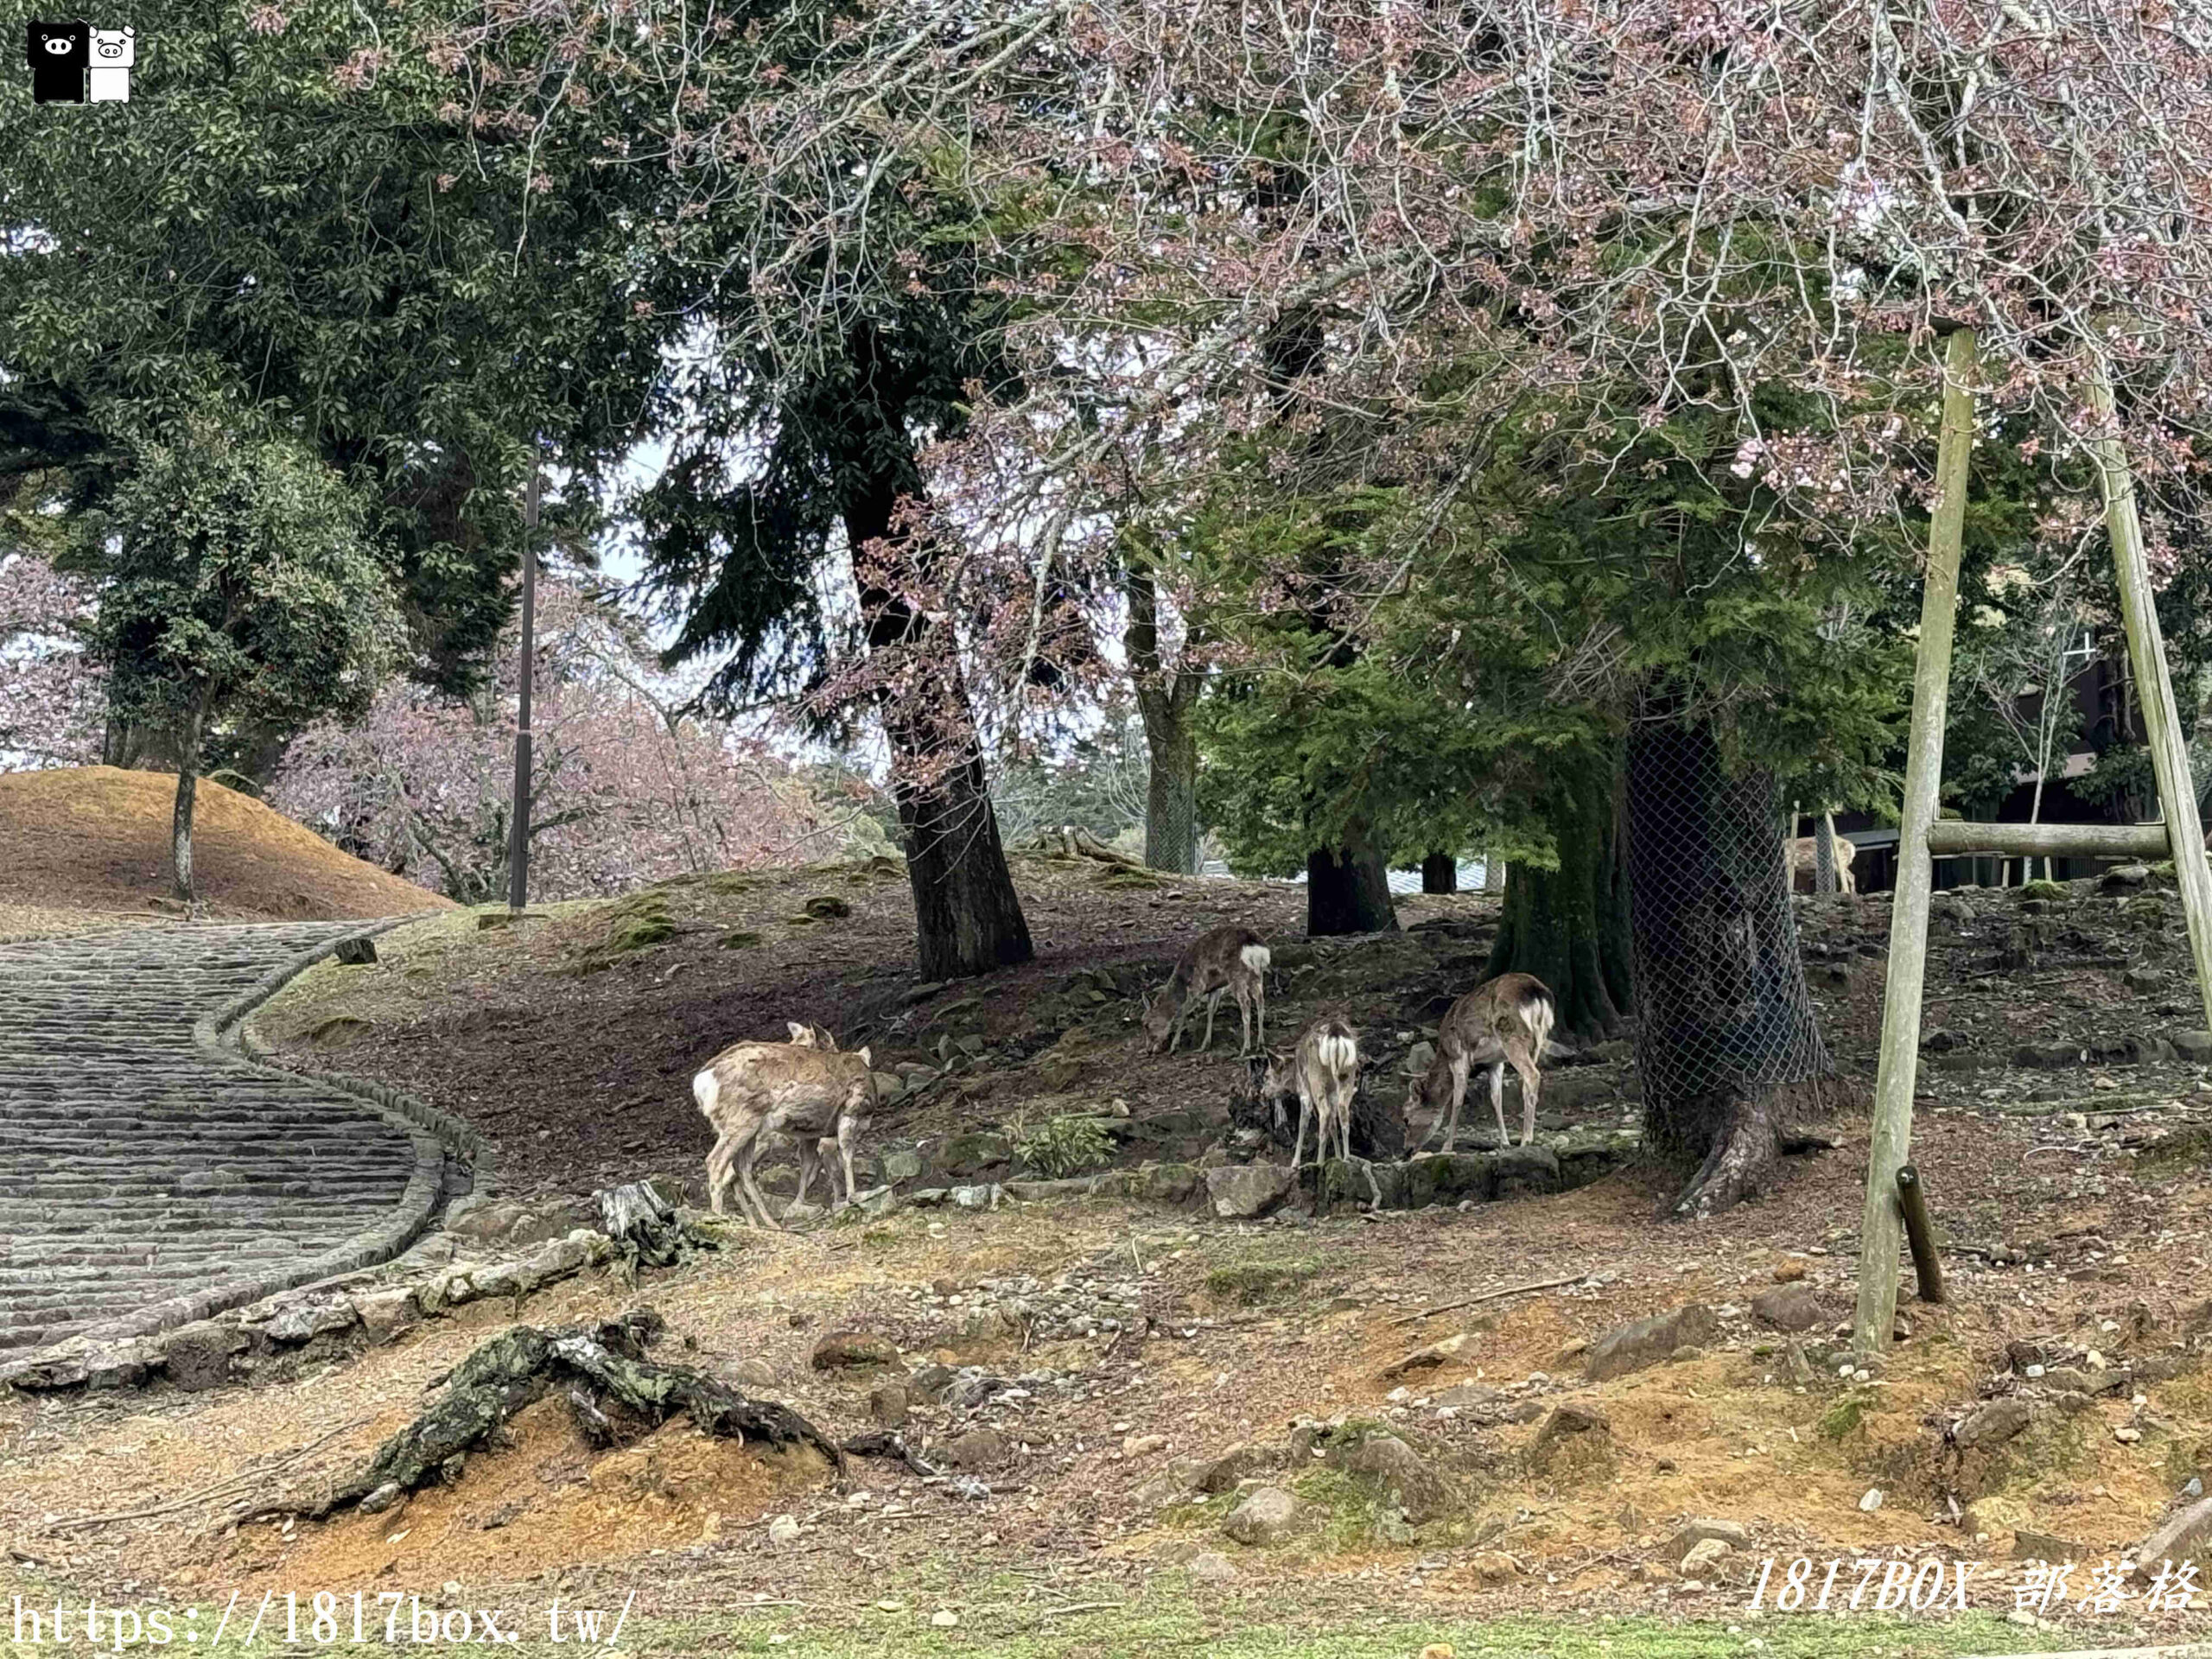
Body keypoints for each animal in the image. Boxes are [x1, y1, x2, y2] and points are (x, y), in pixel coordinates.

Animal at [1150, 929, 1274, 1057]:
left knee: (1246, 1002)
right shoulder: (1215, 988)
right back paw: (1260, 1043)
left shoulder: (1198, 984)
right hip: (1257, 975)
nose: (1148, 1050)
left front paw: (1174, 1046)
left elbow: (1185, 1010)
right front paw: (1205, 1045)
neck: (1183, 979)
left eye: (1146, 1024)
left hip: (1237, 975)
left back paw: (1245, 1048)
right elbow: (1211, 1010)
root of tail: (1257, 949)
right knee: (1260, 999)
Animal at [1397, 973, 1557, 1159]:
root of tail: (1537, 993)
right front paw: (1505, 1142)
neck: (1444, 1053)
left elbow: (1457, 1101)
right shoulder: (1495, 1063)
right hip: (1538, 1040)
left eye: (1406, 1118)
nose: (1406, 1151)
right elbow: (1496, 1099)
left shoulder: (1459, 1057)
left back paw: (1527, 1139)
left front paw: (1446, 1147)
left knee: (1532, 1075)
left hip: (1511, 1035)